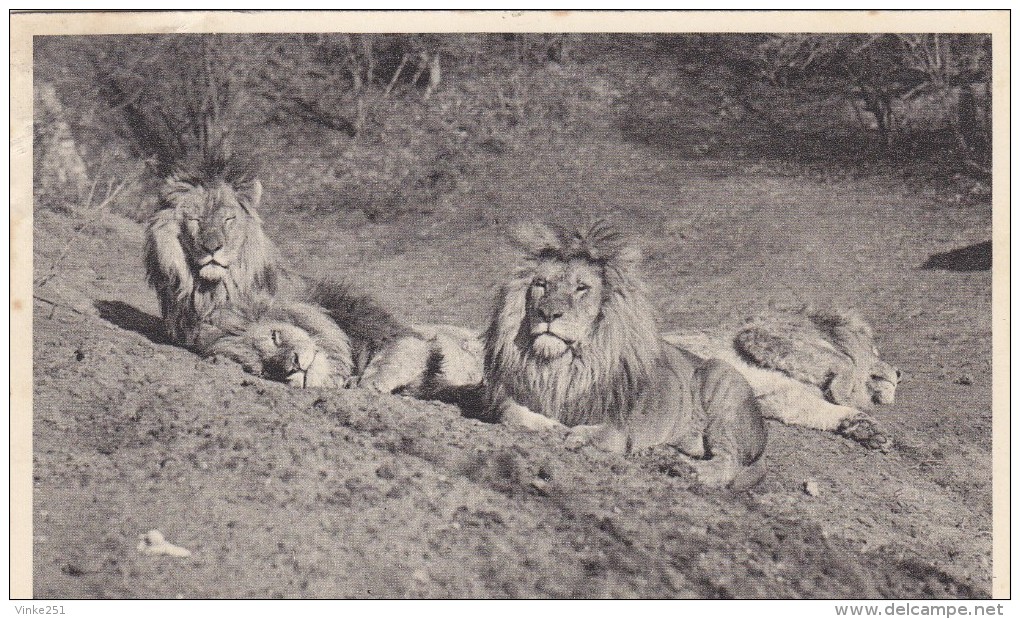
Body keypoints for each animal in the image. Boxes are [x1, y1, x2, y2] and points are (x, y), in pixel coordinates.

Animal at [483, 221, 767, 489]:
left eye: (581, 288)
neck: (561, 365)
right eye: (541, 284)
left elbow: (598, 433)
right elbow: (511, 413)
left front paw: (574, 436)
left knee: (728, 461)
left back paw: (685, 468)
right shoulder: (508, 397)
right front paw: (552, 426)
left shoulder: (619, 427)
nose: (548, 313)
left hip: (721, 377)